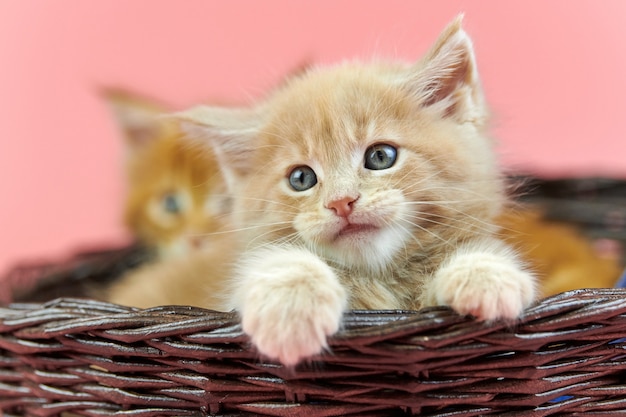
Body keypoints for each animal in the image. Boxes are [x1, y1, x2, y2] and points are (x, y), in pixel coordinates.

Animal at [173, 15, 532, 364]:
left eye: (380, 156)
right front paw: (291, 304)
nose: (341, 201)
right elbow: (278, 259)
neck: (379, 278)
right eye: (300, 178)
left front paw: (485, 274)